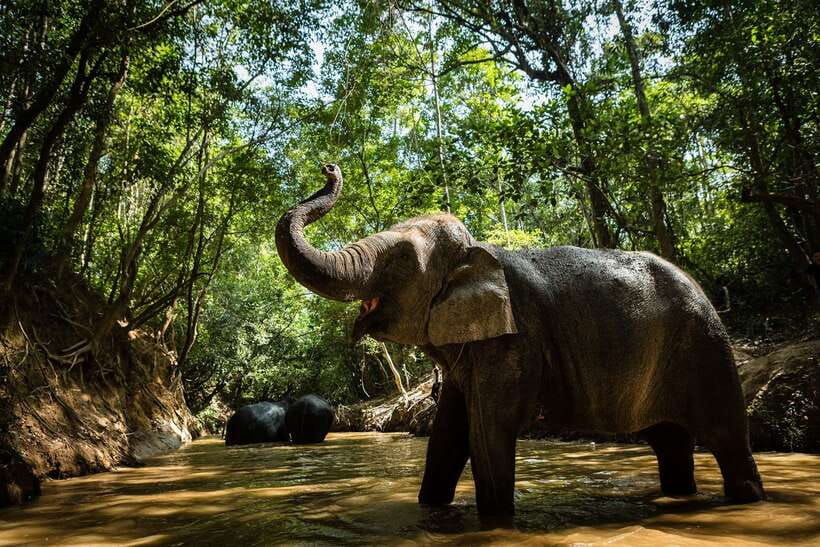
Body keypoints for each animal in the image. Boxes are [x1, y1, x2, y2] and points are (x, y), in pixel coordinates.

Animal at [275, 164, 764, 518]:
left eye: (402, 259)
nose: (329, 167)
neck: (480, 253)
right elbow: (448, 435)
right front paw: (431, 509)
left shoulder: (515, 340)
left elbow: (488, 432)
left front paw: (495, 519)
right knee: (669, 441)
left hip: (705, 348)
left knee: (725, 436)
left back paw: (747, 499)